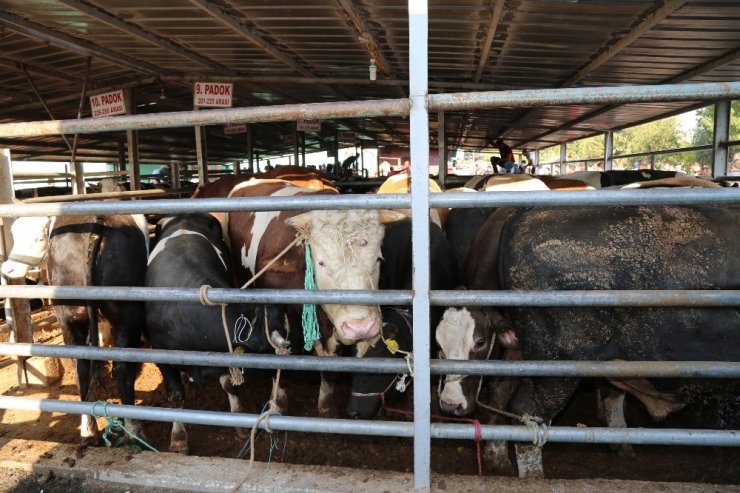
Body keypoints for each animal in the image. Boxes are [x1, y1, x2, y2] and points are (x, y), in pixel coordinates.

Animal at [145, 212, 286, 454]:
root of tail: (184, 216)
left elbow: (228, 384)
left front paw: (238, 419)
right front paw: (178, 439)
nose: (280, 400)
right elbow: (175, 396)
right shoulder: (161, 354)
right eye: (268, 352)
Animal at [436, 205, 740, 476]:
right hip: (557, 366)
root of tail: (522, 214)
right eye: (438, 346)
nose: (450, 405)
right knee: (528, 413)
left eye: (479, 342)